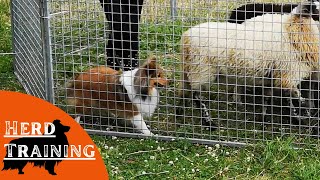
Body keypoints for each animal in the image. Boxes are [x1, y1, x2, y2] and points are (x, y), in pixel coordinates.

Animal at [178, 1, 320, 128]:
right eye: (314, 9)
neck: (291, 32)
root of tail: (186, 37)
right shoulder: (288, 74)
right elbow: (295, 98)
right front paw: (302, 118)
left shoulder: (274, 76)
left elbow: (270, 98)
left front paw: (265, 119)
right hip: (201, 69)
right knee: (197, 96)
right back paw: (209, 123)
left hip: (190, 69)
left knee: (185, 90)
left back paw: (180, 112)